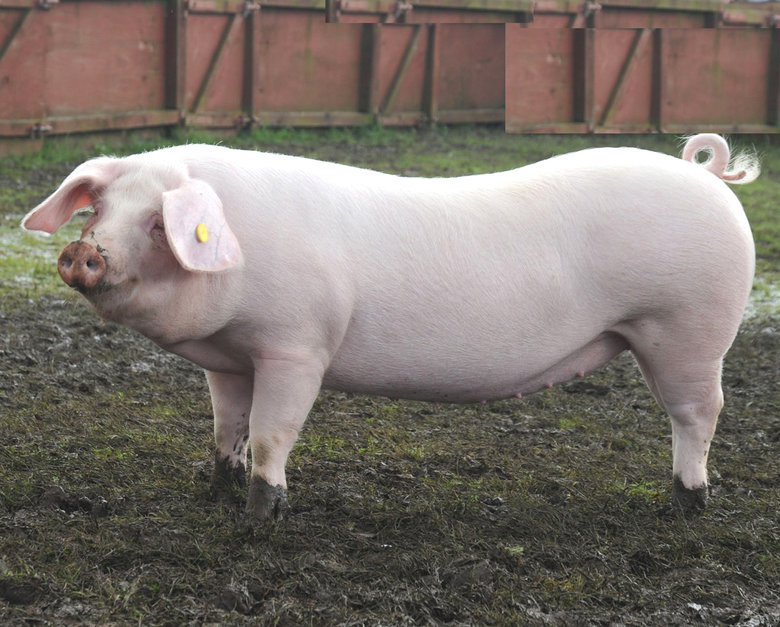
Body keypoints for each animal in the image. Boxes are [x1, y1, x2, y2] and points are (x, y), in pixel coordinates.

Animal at [21, 133, 757, 520]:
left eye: (157, 222)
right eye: (99, 210)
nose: (83, 251)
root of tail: (705, 175)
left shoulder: (297, 346)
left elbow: (271, 431)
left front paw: (262, 514)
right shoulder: (228, 359)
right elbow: (226, 425)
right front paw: (215, 488)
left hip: (687, 329)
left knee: (700, 414)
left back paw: (688, 502)